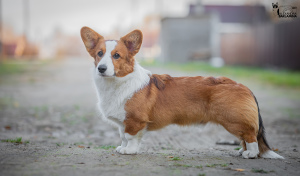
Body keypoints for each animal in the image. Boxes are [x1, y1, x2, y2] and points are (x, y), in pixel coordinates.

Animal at [79, 26, 284, 160]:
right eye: (99, 54)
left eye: (116, 56)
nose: (102, 68)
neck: (118, 82)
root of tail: (243, 86)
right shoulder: (123, 122)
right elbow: (122, 136)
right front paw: (122, 147)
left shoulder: (135, 121)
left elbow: (131, 137)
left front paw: (129, 151)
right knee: (244, 137)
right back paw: (242, 151)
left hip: (233, 120)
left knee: (250, 135)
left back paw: (250, 153)